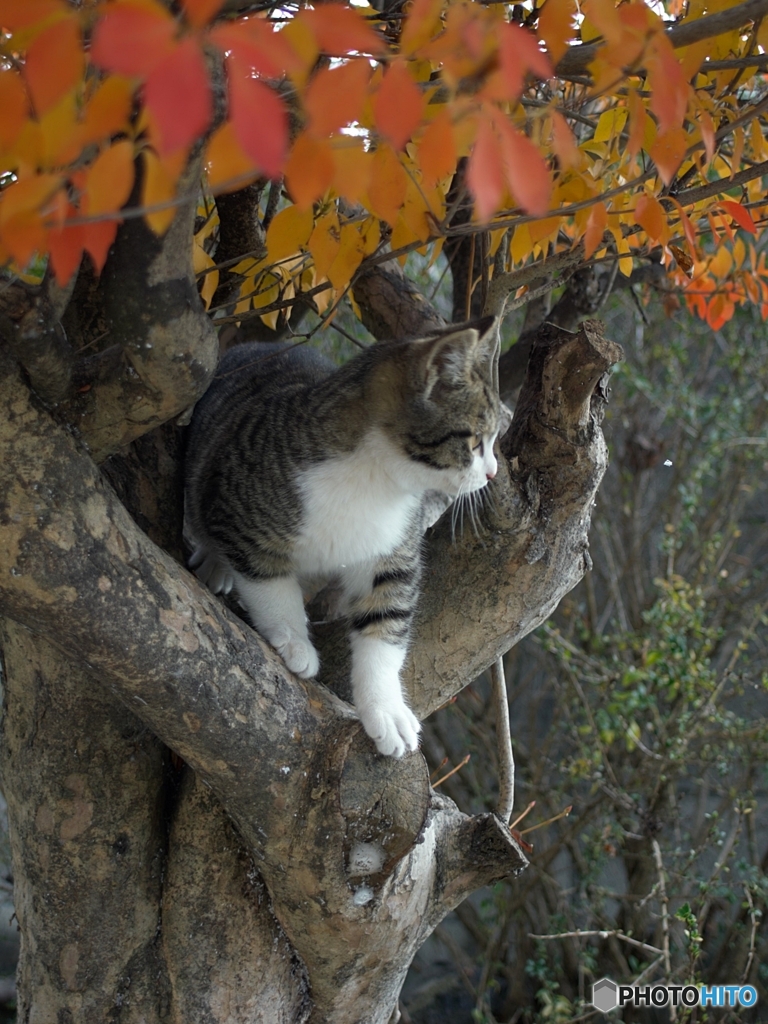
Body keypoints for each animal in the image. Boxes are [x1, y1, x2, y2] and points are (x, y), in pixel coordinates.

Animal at [184, 321, 501, 761]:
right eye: (474, 441)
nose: (493, 472)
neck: (376, 480)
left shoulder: (395, 545)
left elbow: (386, 620)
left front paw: (386, 709)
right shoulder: (241, 505)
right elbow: (269, 582)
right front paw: (295, 642)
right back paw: (216, 561)